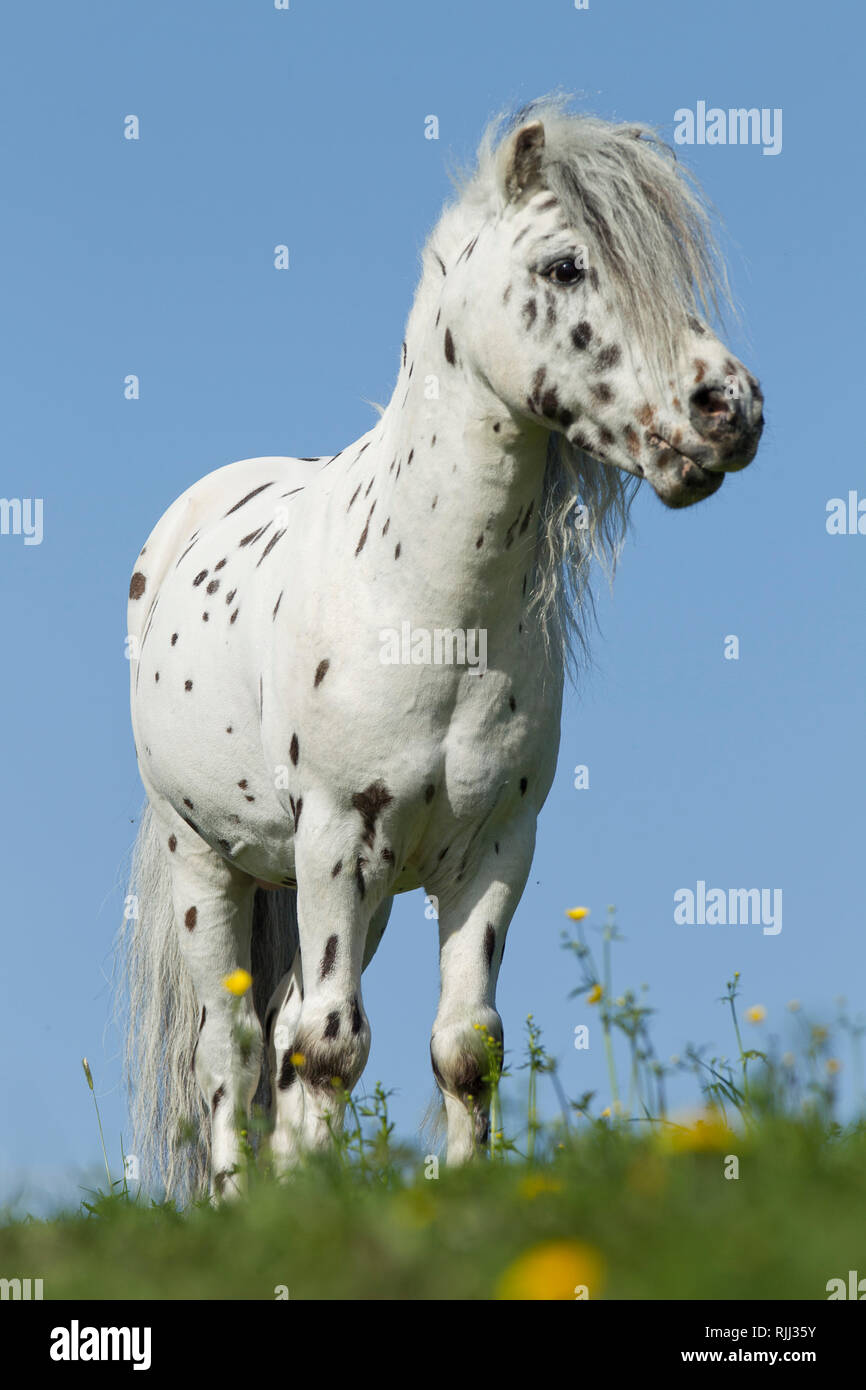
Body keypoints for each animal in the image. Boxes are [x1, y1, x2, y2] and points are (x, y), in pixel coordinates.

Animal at [120, 97, 767, 1206]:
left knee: (281, 1035)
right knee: (231, 1046)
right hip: (209, 862)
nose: (729, 408)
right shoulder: (339, 838)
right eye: (564, 265)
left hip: (349, 889)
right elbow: (331, 1046)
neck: (431, 613)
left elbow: (464, 1047)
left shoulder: (493, 850)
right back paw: (244, 1201)